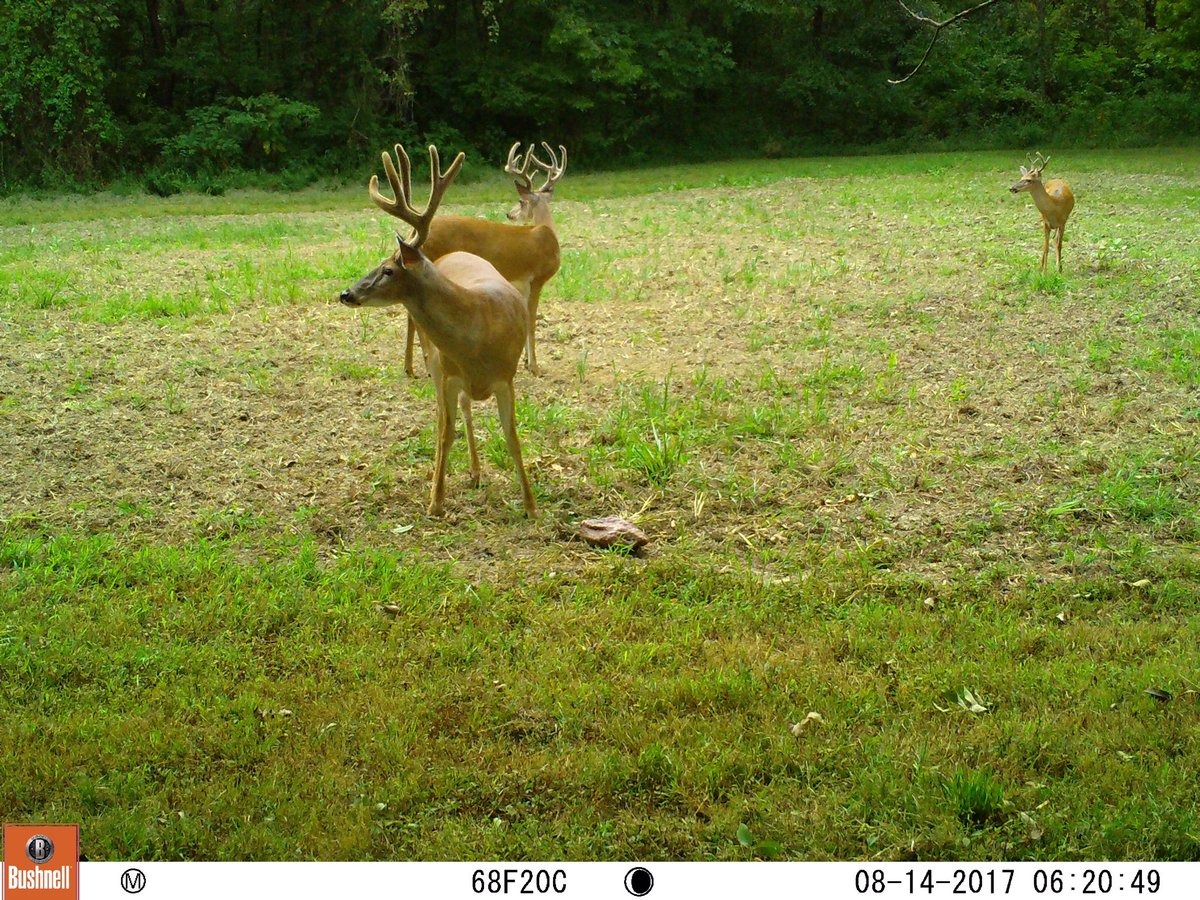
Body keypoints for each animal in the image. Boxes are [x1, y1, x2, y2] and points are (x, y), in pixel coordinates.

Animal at [339, 143, 538, 518]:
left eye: (388, 269)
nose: (346, 293)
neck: (476, 334)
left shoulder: (506, 378)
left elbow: (513, 437)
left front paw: (531, 506)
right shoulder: (447, 374)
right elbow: (446, 433)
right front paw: (436, 500)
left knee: (466, 409)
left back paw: (476, 472)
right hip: (435, 363)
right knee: (449, 415)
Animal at [400, 141, 566, 378]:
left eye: (520, 202)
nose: (509, 214)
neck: (547, 232)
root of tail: (412, 235)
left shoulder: (520, 285)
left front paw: (526, 361)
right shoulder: (536, 279)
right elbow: (532, 321)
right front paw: (535, 367)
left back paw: (410, 367)